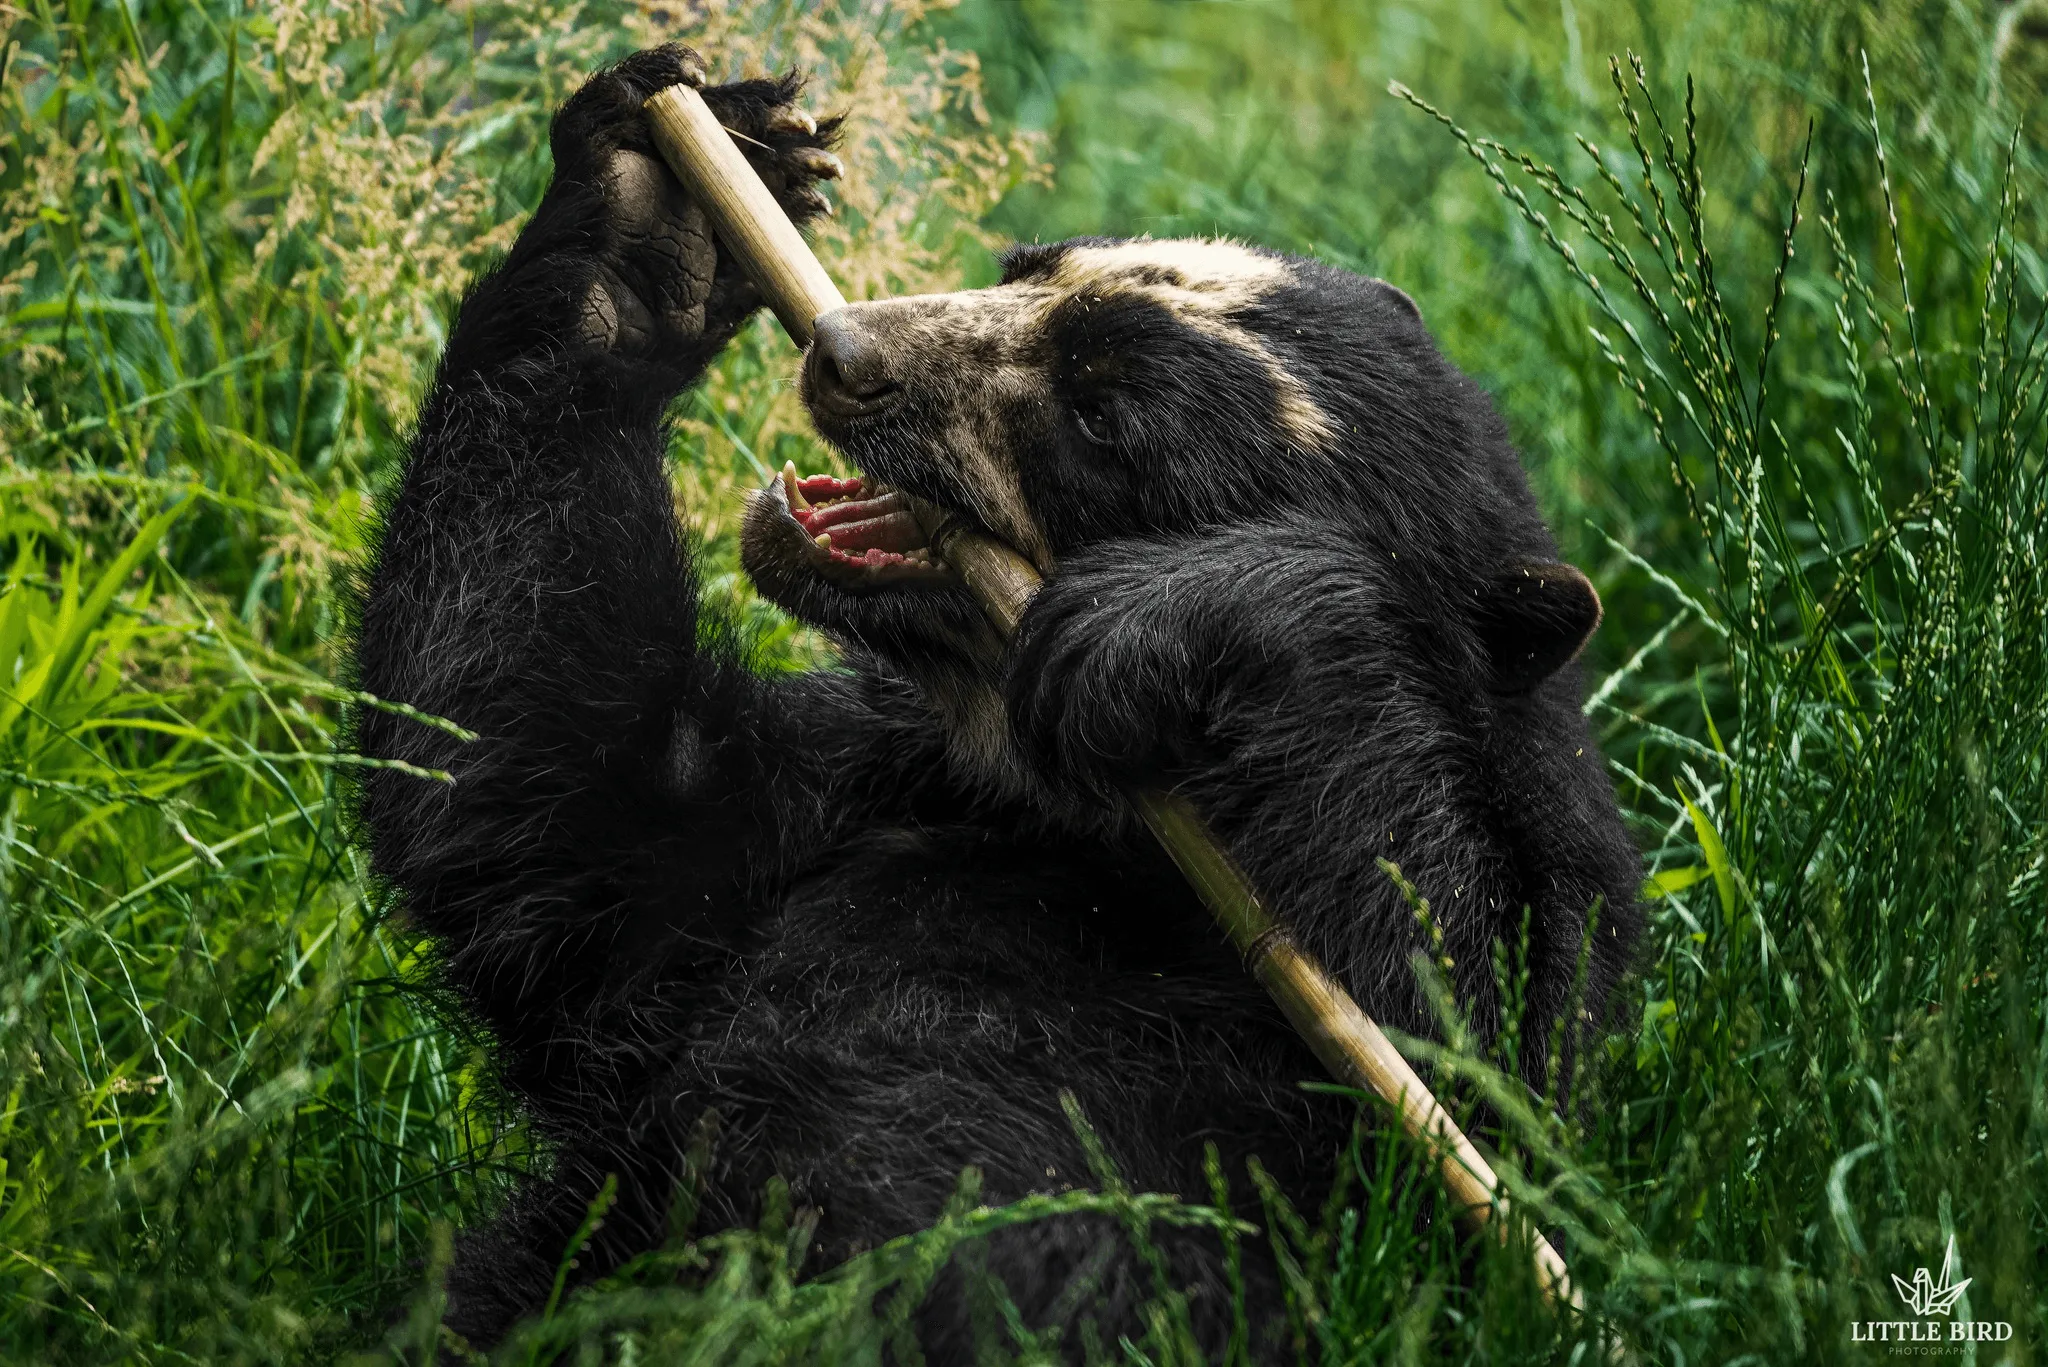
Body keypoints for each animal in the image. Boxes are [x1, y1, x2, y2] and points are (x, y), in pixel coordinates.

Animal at [349, 42, 1644, 1356]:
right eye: (1025, 271)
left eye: (1101, 413)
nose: (843, 350)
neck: (1086, 833)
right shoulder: (866, 789)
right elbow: (555, 811)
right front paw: (665, 203)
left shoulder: (1493, 977)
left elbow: (1428, 1049)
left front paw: (1183, 608)